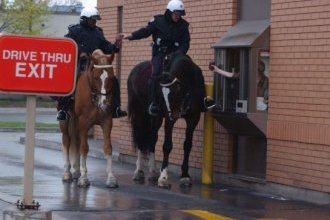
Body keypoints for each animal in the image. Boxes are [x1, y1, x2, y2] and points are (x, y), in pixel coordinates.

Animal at [59, 49, 118, 187]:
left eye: (111, 77)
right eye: (96, 77)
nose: (105, 103)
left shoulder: (107, 122)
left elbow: (108, 148)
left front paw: (111, 178)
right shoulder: (84, 123)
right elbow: (84, 148)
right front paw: (84, 178)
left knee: (76, 141)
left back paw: (76, 171)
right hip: (66, 122)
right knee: (67, 141)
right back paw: (67, 173)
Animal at [127, 51, 206, 187]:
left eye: (176, 91)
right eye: (161, 93)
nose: (173, 114)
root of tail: (134, 70)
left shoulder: (194, 118)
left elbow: (187, 145)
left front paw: (185, 175)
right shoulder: (169, 120)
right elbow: (167, 145)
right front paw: (163, 177)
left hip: (155, 118)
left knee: (152, 138)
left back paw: (152, 172)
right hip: (140, 113)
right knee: (142, 138)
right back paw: (139, 171)